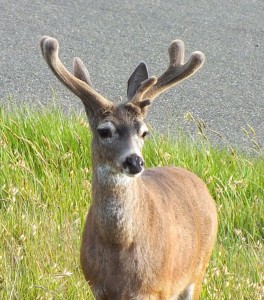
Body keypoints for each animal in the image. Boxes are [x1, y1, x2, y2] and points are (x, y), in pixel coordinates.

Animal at [40, 35, 217, 300]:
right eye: (104, 131)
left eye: (144, 132)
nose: (135, 161)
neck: (119, 246)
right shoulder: (98, 287)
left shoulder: (157, 288)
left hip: (197, 269)